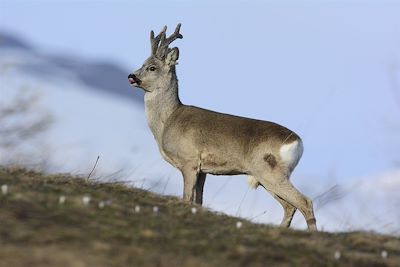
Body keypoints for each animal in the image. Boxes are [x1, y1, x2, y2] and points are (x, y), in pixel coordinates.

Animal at [127, 24, 316, 231]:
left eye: (152, 67)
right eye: (142, 63)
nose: (131, 76)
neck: (167, 121)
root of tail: (297, 142)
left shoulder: (189, 161)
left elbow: (186, 198)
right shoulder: (203, 171)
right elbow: (198, 201)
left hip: (270, 172)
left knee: (305, 202)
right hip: (265, 177)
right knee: (290, 206)